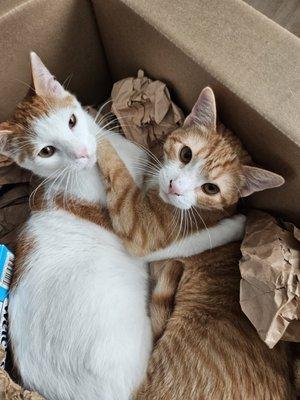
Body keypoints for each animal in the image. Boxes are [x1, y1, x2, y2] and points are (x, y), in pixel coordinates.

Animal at [0, 54, 245, 400]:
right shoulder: (139, 236)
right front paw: (236, 224)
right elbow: (192, 237)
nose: (83, 153)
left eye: (72, 121)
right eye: (46, 151)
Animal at [97, 88, 294, 400]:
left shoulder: (141, 229)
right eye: (186, 154)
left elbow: (119, 175)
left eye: (211, 188)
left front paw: (98, 139)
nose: (174, 188)